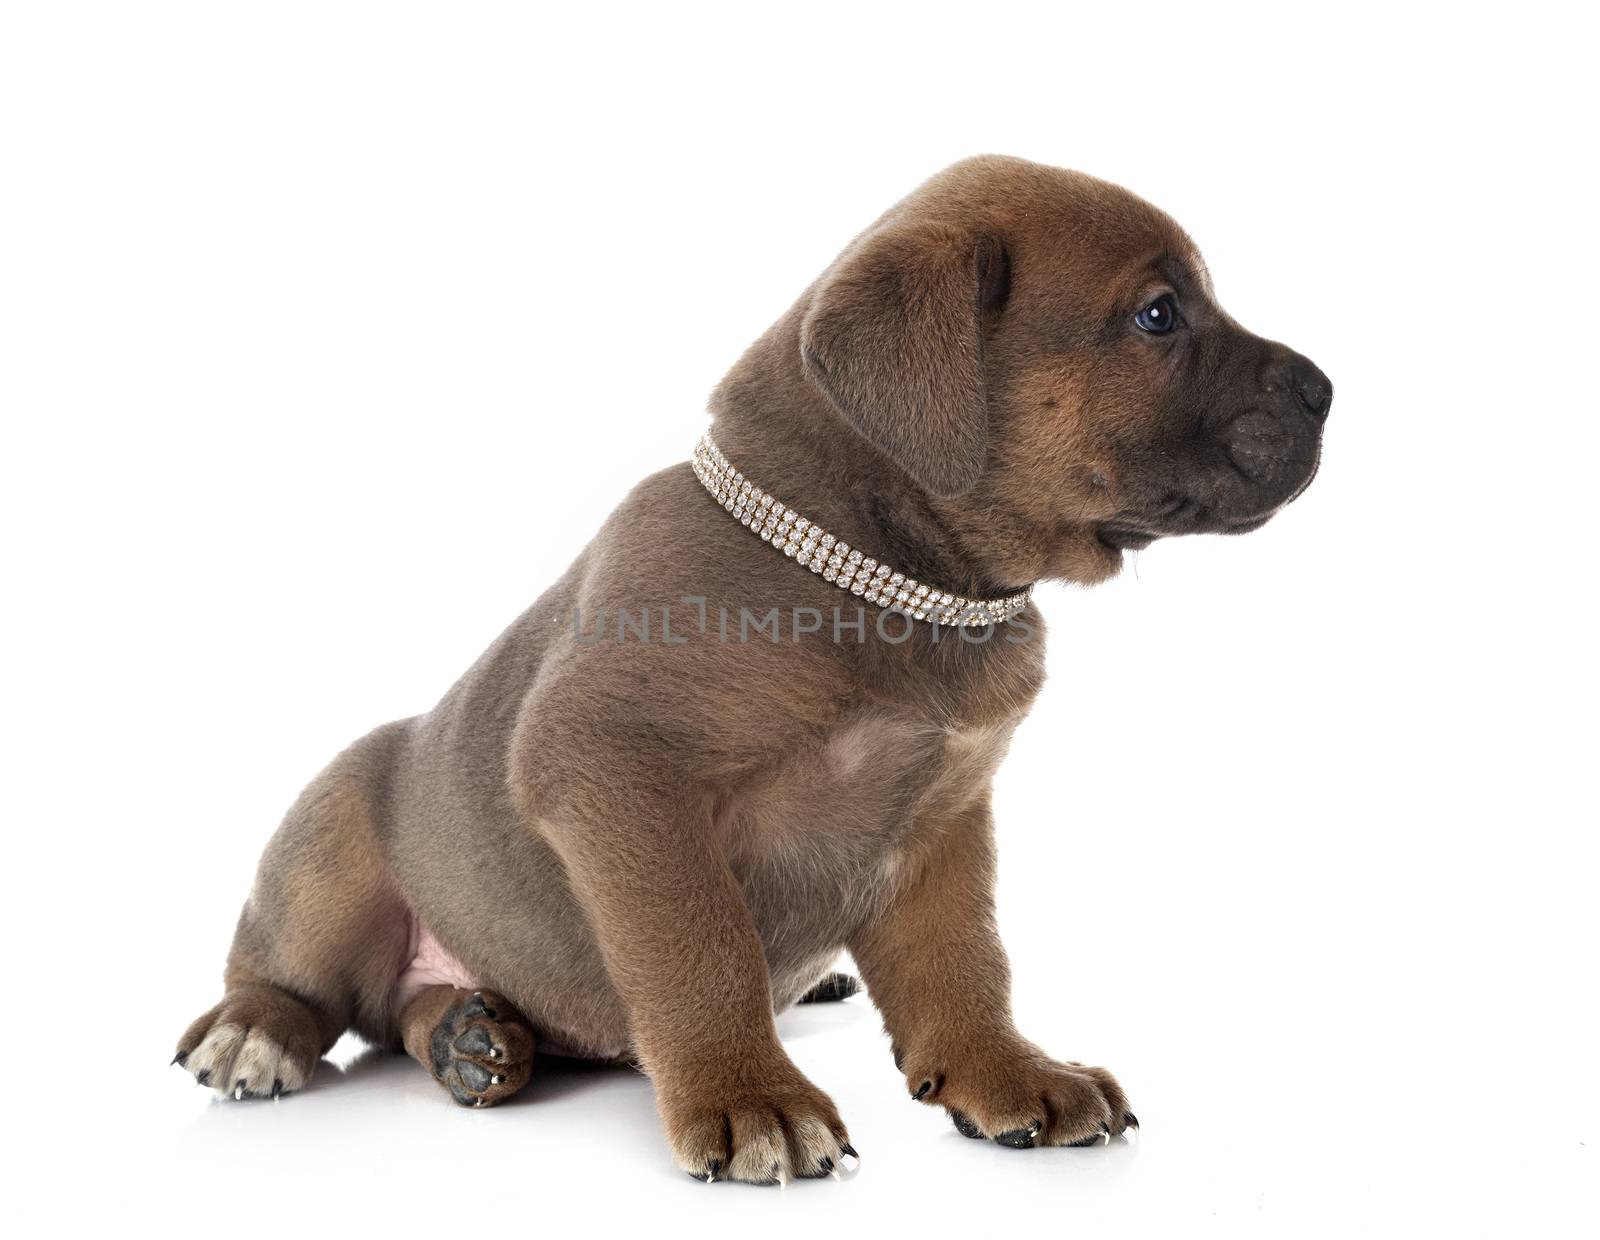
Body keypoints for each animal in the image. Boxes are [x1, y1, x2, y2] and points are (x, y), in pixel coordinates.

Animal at [175, 155, 1331, 1184]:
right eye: (1157, 316)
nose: (1327, 387)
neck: (886, 578)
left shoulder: (947, 817)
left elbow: (966, 962)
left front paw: (1009, 1072)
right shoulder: (617, 770)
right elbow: (703, 949)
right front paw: (749, 1096)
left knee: (399, 1016)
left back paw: (469, 1032)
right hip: (333, 829)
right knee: (300, 979)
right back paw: (263, 1029)